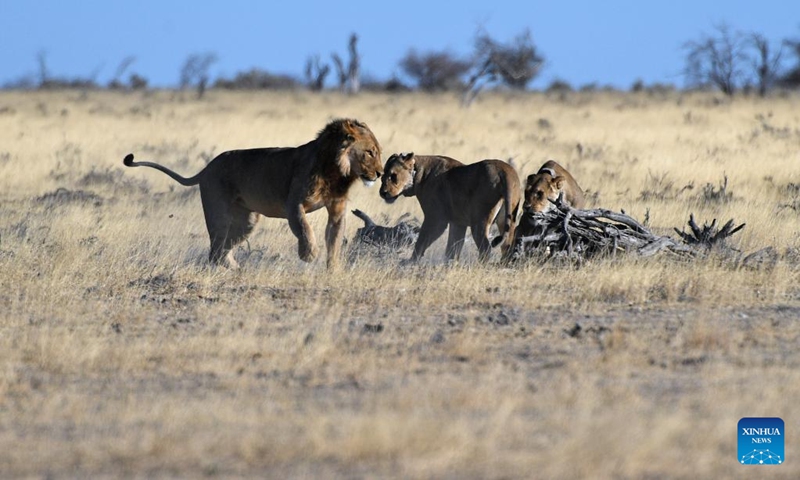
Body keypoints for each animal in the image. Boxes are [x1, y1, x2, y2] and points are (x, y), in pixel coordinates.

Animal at [123, 118, 383, 269]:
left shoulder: (337, 209)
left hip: (246, 221)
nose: (380, 173)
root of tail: (207, 168)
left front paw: (333, 269)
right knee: (215, 247)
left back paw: (235, 269)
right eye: (370, 152)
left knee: (222, 248)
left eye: (378, 152)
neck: (336, 172)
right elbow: (303, 228)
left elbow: (335, 239)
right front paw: (309, 254)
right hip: (218, 214)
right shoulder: (293, 204)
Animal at [379, 152, 521, 263]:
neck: (418, 172)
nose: (382, 193)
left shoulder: (436, 219)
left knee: (486, 249)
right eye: (382, 176)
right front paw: (449, 264)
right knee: (507, 247)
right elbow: (453, 247)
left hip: (479, 221)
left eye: (393, 176)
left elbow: (422, 241)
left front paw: (410, 262)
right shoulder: (458, 222)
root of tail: (504, 170)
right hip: (507, 219)